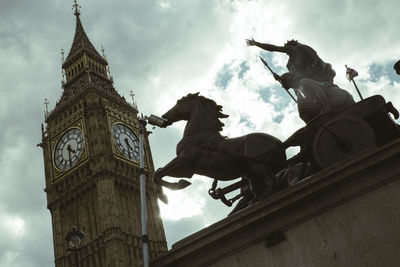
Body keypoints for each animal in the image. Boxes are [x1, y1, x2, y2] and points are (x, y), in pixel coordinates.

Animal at [154, 93, 288, 200]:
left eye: (178, 102)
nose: (165, 115)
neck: (196, 135)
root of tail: (281, 144)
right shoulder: (188, 170)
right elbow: (158, 171)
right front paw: (176, 186)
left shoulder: (183, 161)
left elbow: (158, 173)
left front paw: (176, 187)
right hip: (252, 172)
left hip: (258, 166)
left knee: (272, 181)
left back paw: (263, 197)